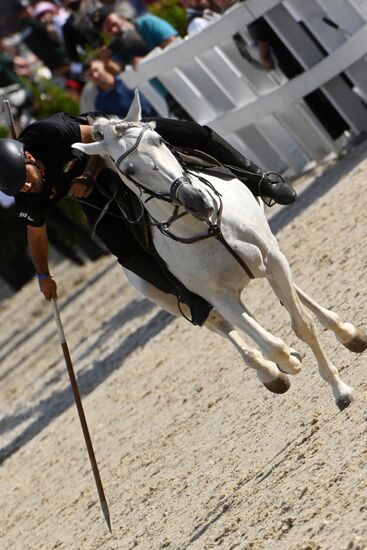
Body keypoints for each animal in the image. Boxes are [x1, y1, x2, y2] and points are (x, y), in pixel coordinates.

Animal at [72, 91, 367, 410]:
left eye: (159, 140)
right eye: (128, 170)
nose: (196, 200)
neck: (207, 227)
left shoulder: (272, 260)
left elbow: (302, 324)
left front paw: (340, 389)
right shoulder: (218, 297)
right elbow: (271, 345)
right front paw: (289, 362)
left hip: (268, 259)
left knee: (291, 296)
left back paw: (345, 333)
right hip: (182, 302)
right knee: (226, 330)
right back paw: (270, 373)